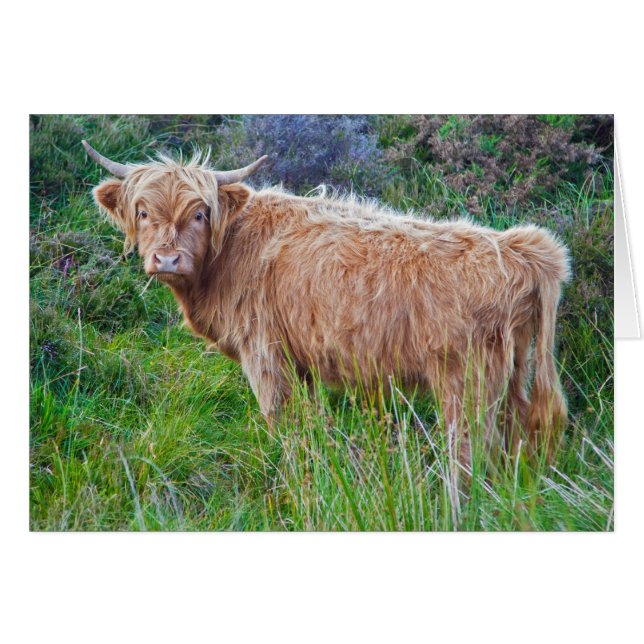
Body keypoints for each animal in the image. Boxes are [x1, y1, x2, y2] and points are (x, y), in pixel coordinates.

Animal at [83, 140, 570, 468]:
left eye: (200, 213)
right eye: (143, 212)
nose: (167, 259)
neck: (227, 255)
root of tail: (521, 247)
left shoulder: (264, 353)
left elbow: (279, 420)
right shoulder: (302, 362)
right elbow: (312, 422)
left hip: (467, 382)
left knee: (471, 451)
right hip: (515, 371)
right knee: (516, 437)